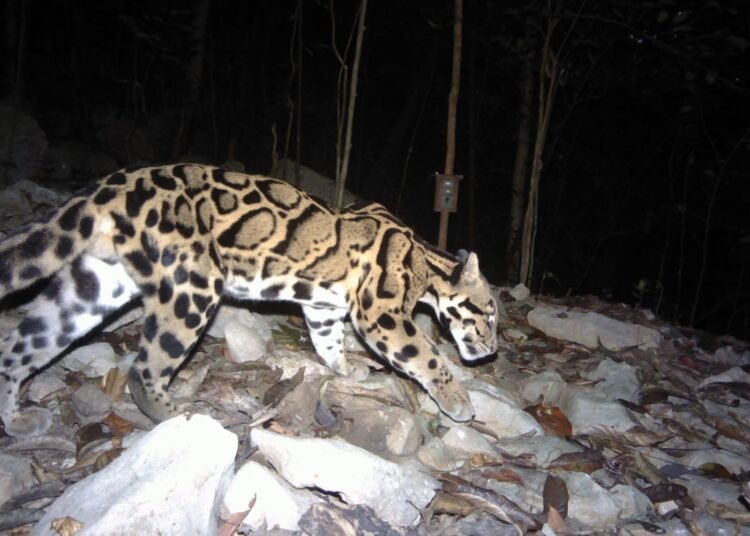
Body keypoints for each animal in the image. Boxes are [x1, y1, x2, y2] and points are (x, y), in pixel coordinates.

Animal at [0, 163, 498, 437]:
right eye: (490, 315)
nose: (492, 350)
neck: (427, 259)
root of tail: (112, 185)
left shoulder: (323, 308)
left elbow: (328, 343)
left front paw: (344, 369)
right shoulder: (382, 313)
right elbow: (428, 358)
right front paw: (457, 401)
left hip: (93, 286)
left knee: (19, 347)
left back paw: (15, 421)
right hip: (193, 286)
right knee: (145, 368)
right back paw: (173, 413)